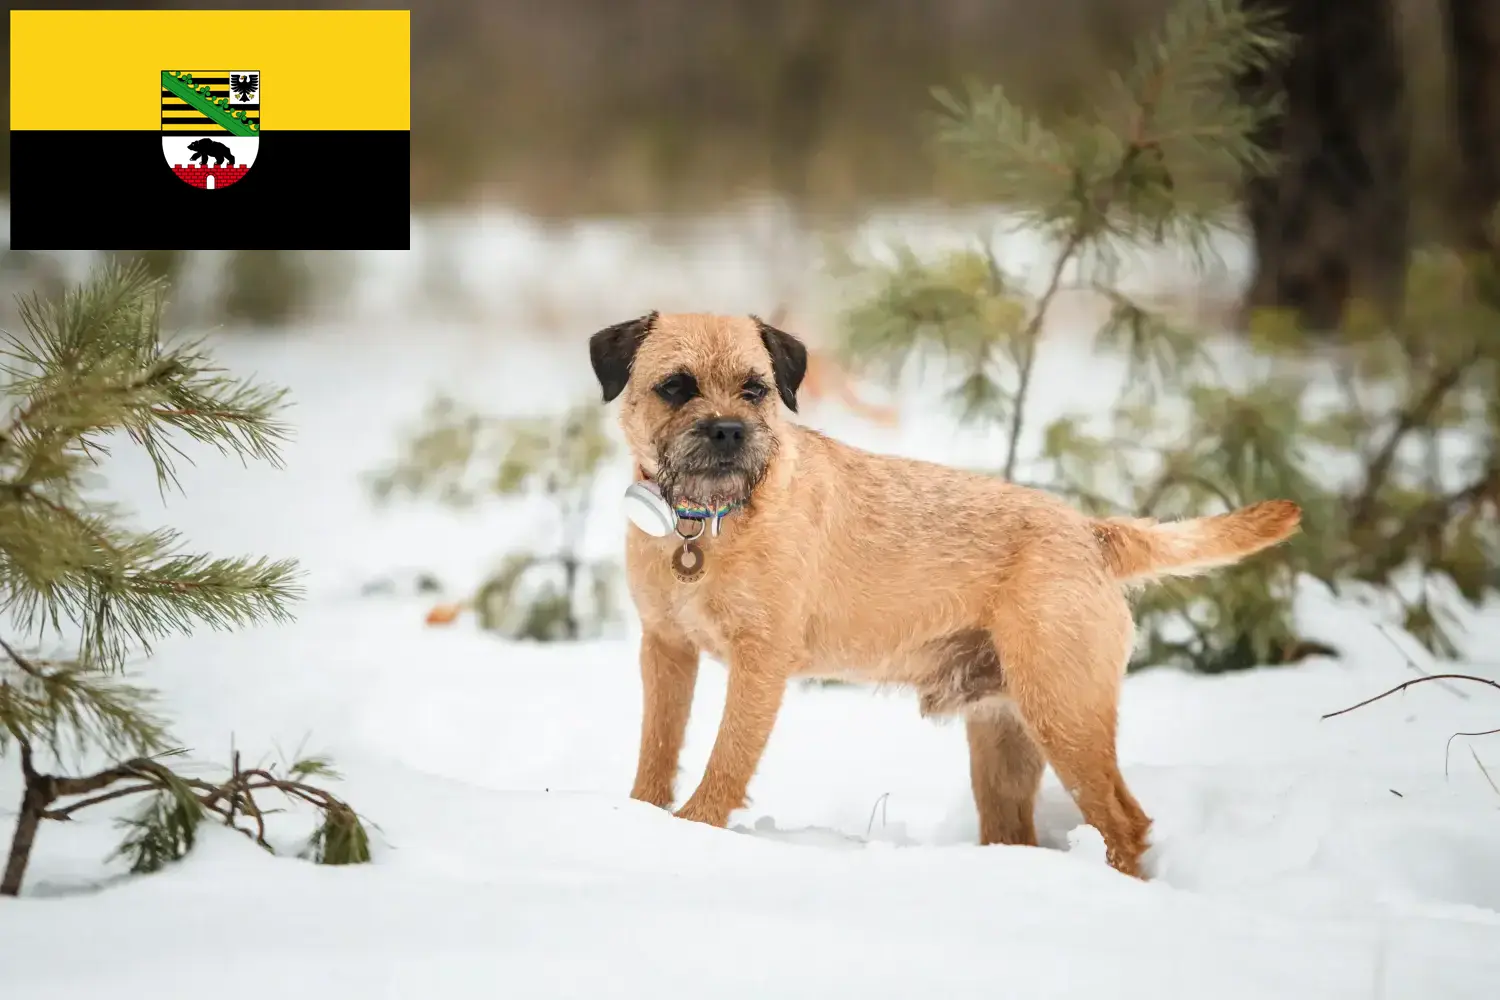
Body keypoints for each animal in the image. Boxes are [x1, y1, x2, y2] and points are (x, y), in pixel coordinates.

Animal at [585, 310, 1302, 875]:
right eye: (676, 387)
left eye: (754, 390)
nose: (729, 431)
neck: (704, 522)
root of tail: (1092, 532)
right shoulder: (666, 649)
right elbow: (658, 747)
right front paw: (642, 815)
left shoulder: (760, 663)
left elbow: (727, 758)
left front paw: (693, 828)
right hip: (1005, 740)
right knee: (1022, 831)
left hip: (1065, 714)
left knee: (1126, 822)